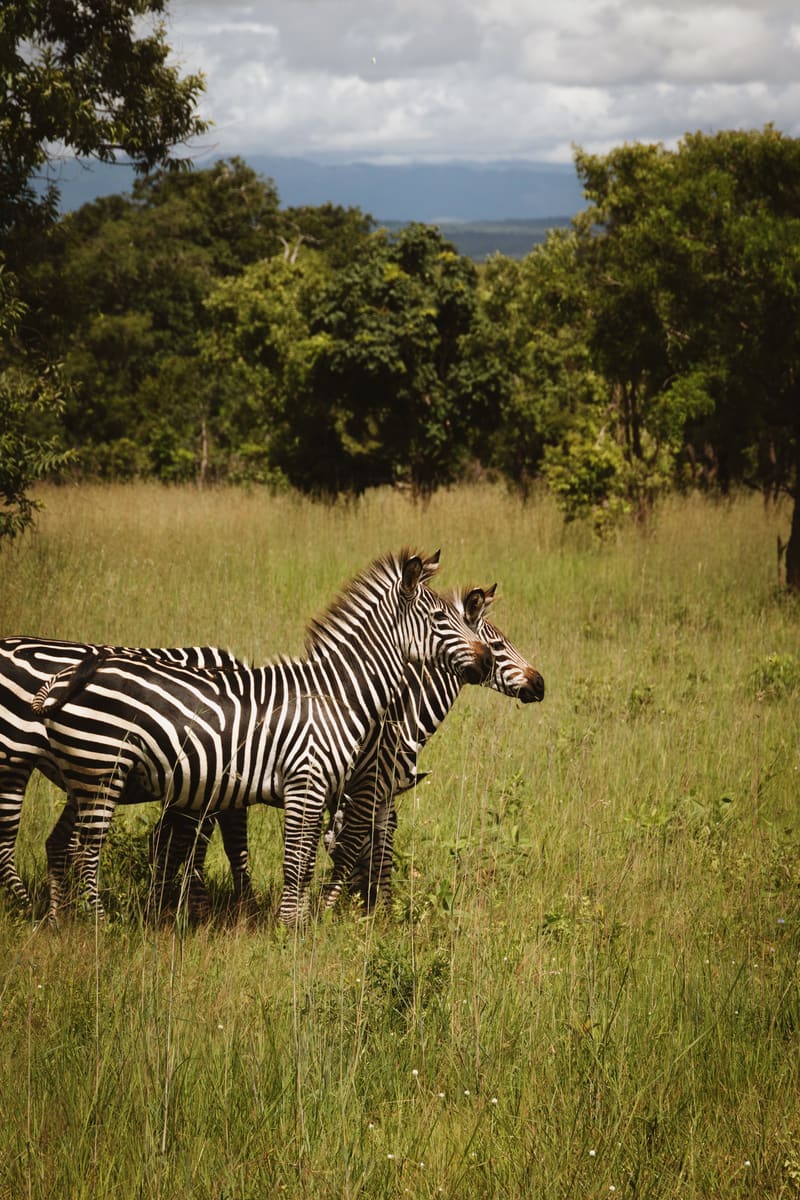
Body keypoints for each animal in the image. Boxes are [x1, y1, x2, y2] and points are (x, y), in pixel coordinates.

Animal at [0, 636, 248, 911]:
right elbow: (217, 846)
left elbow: (168, 843)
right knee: (6, 847)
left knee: (56, 844)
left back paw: (60, 911)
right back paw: (30, 907)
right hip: (14, 757)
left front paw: (163, 902)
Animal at [32, 550, 494, 926]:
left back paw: (68, 919)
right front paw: (290, 931)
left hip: (86, 775)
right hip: (101, 771)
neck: (338, 693)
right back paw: (98, 926)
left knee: (69, 847)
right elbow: (297, 864)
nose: (487, 659)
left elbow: (307, 862)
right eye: (439, 619)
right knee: (86, 852)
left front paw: (301, 925)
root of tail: (71, 674)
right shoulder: (306, 782)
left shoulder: (319, 789)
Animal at [321, 583, 545, 911]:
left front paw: (369, 905)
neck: (404, 713)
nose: (541, 684)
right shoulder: (370, 785)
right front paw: (362, 909)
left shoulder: (369, 793)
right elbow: (361, 845)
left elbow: (363, 846)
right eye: (497, 647)